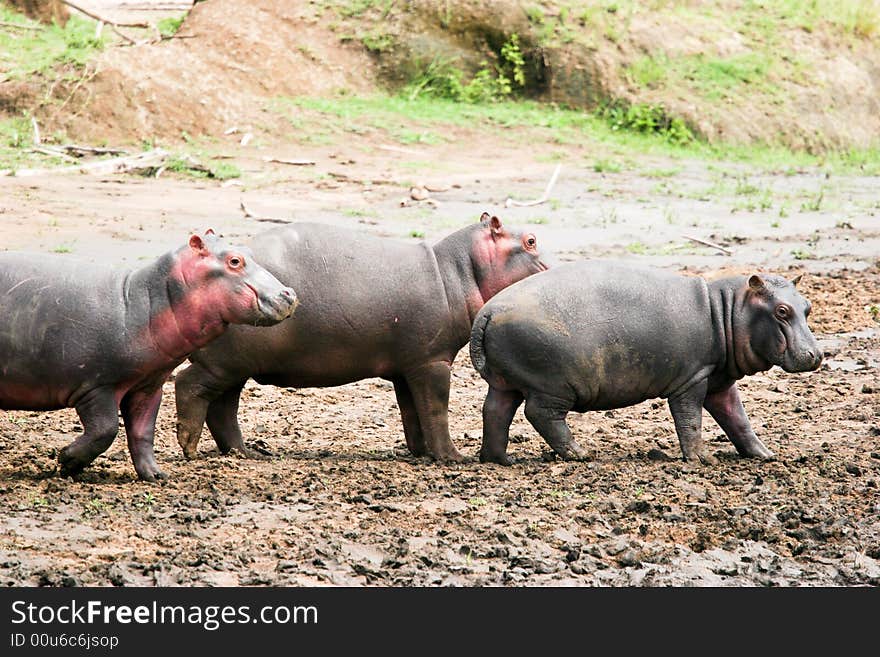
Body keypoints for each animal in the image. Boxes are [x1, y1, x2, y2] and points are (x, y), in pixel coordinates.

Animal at [0, 232, 298, 482]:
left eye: (246, 252)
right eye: (235, 260)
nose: (290, 294)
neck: (145, 299)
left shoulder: (148, 386)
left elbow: (143, 433)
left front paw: (157, 476)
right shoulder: (97, 386)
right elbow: (106, 430)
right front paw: (66, 462)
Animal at [173, 211, 548, 462]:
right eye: (531, 241)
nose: (552, 270)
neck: (458, 271)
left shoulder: (407, 366)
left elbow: (413, 411)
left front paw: (419, 452)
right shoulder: (433, 361)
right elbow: (437, 408)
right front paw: (452, 457)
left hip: (237, 365)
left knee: (223, 408)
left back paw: (245, 453)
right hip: (224, 363)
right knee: (189, 386)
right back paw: (190, 448)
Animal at [470, 258, 820, 464]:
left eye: (807, 306)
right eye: (781, 311)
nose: (816, 355)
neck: (726, 309)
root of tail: (487, 311)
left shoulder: (719, 380)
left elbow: (738, 419)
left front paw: (766, 455)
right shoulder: (692, 379)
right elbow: (690, 420)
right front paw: (701, 460)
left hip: (506, 382)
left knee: (495, 412)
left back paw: (499, 460)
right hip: (552, 385)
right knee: (542, 415)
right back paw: (582, 454)